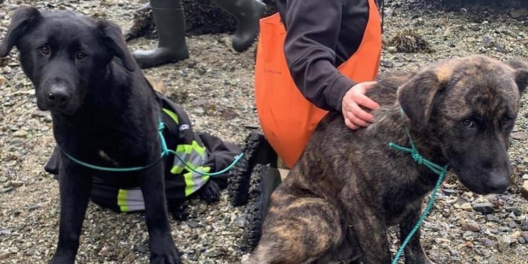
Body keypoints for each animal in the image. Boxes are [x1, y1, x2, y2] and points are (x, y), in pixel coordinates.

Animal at [0, 7, 182, 262]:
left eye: (81, 55)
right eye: (44, 49)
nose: (58, 96)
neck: (91, 113)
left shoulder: (150, 158)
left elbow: (156, 210)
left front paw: (163, 249)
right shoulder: (73, 168)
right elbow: (68, 224)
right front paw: (63, 257)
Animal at [245, 54, 528, 262]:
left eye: (508, 120)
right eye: (468, 122)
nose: (500, 184)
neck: (411, 138)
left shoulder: (413, 203)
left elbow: (412, 242)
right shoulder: (362, 205)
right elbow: (381, 254)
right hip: (323, 215)